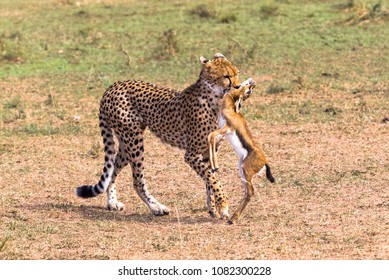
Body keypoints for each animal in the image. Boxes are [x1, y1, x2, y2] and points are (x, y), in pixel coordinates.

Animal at [76, 52, 239, 219]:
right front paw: (223, 205)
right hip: (134, 140)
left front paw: (213, 209)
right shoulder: (191, 155)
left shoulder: (209, 151)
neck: (215, 97)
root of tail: (114, 85)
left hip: (126, 142)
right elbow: (213, 179)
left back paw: (112, 202)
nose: (238, 86)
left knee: (113, 168)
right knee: (137, 180)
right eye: (226, 76)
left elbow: (210, 180)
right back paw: (156, 207)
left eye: (237, 73)